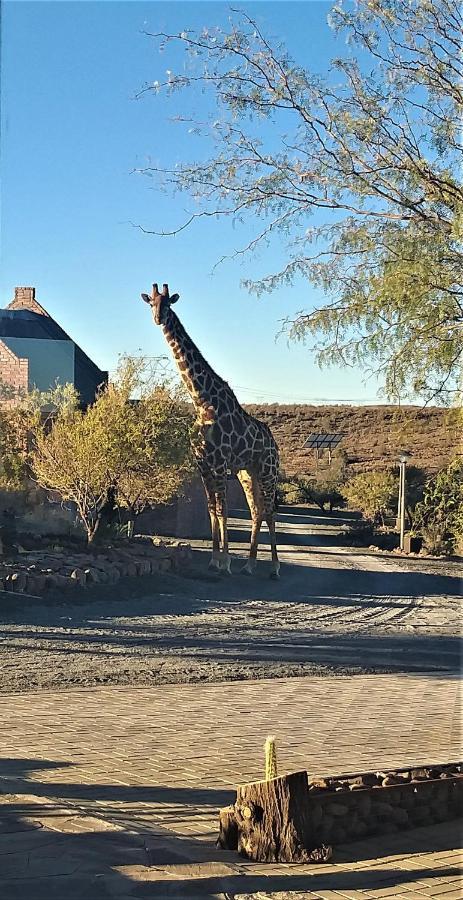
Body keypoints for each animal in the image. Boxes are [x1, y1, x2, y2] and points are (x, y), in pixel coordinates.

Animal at [140, 282, 280, 576]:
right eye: (151, 303)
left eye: (168, 303)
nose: (158, 319)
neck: (202, 401)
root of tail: (275, 444)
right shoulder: (203, 463)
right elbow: (212, 509)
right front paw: (215, 559)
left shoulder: (219, 462)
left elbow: (223, 510)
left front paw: (225, 562)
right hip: (247, 472)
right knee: (257, 510)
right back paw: (249, 564)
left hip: (268, 470)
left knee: (271, 511)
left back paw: (274, 567)